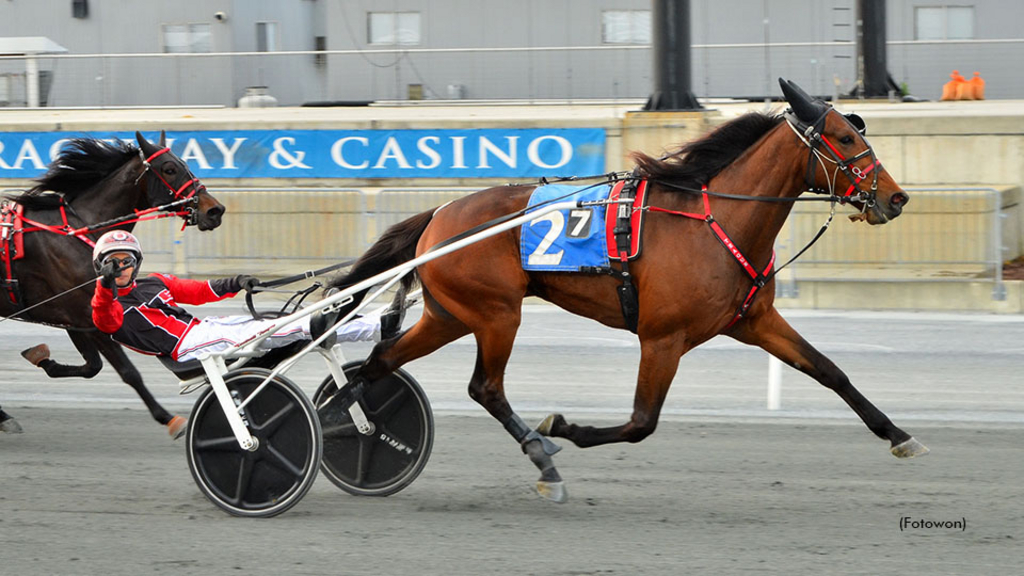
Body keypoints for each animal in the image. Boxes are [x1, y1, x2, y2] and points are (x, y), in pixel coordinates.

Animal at [0, 130, 225, 434]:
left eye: (185, 163)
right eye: (169, 168)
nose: (215, 210)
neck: (78, 231)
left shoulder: (74, 319)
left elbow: (91, 366)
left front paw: (43, 359)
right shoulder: (85, 314)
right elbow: (128, 371)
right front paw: (168, 417)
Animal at [327, 78, 929, 500]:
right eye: (846, 137)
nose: (896, 198)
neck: (715, 222)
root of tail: (438, 217)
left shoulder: (754, 321)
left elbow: (831, 371)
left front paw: (899, 435)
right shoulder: (662, 338)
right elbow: (642, 423)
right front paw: (565, 426)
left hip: (450, 315)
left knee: (380, 361)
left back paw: (346, 420)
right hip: (496, 314)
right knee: (485, 388)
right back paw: (542, 457)